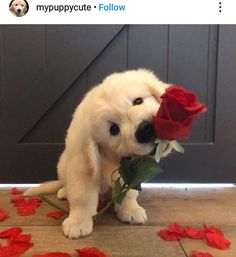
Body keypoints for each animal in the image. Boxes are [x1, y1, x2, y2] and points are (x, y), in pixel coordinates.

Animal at [24, 68, 171, 238]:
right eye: (114, 129)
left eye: (138, 101)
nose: (144, 130)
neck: (113, 157)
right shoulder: (82, 170)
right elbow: (82, 197)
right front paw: (78, 222)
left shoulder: (129, 171)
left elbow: (128, 192)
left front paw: (130, 209)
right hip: (62, 165)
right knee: (66, 184)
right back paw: (64, 192)